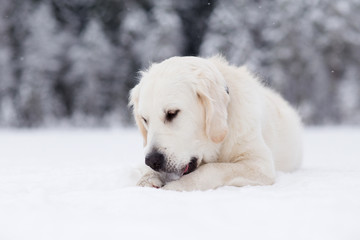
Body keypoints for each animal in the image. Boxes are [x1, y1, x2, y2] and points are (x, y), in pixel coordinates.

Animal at [128, 55, 302, 191]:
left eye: (172, 113)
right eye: (145, 119)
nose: (152, 160)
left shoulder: (260, 164)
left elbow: (213, 169)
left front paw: (177, 186)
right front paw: (146, 179)